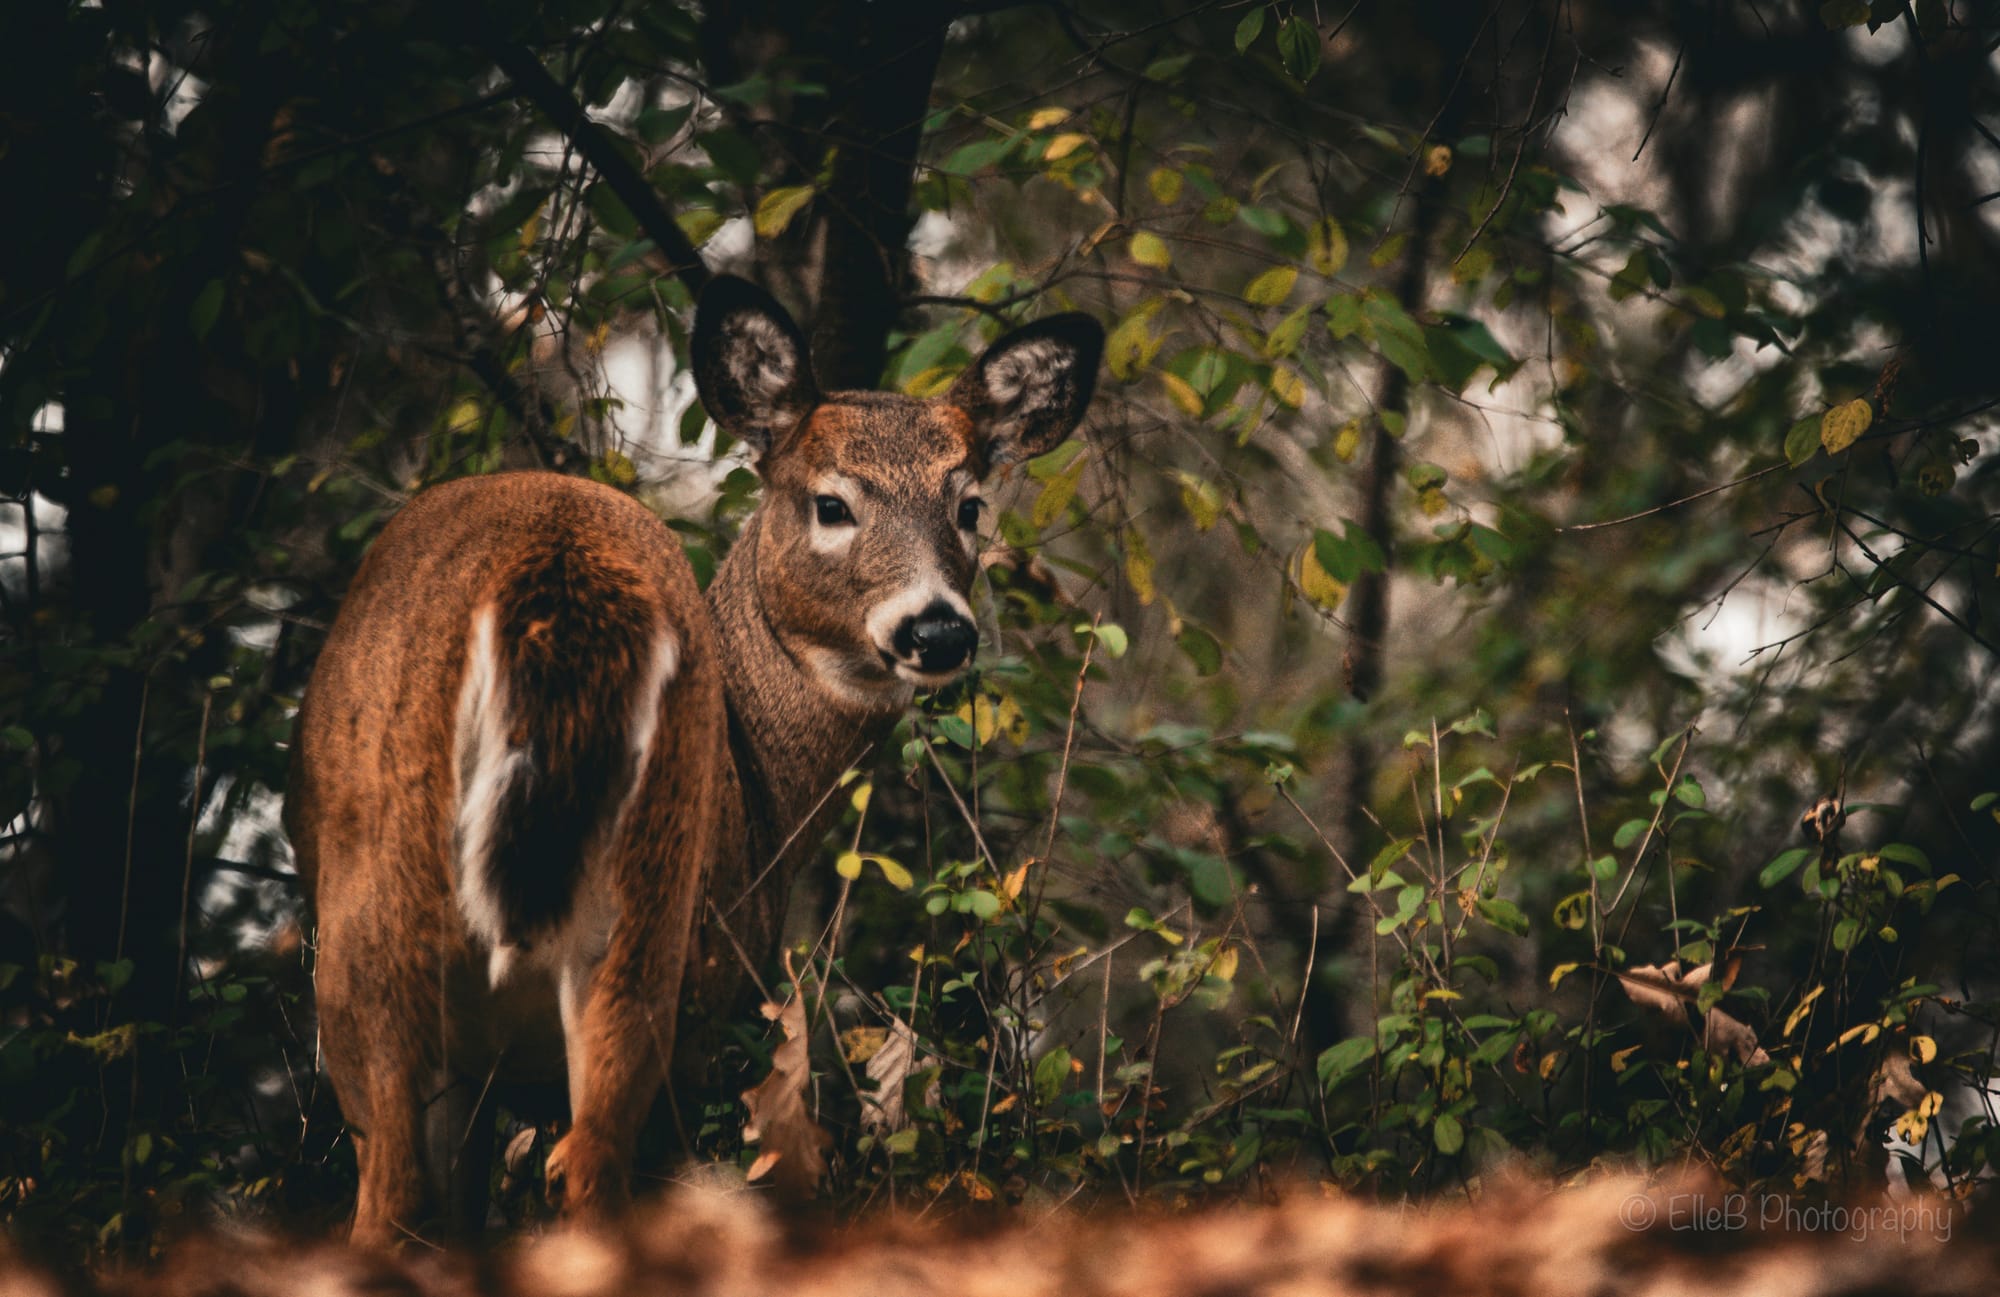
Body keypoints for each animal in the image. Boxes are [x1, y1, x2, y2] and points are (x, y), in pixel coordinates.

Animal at [288, 278, 1104, 1240]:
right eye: (832, 503)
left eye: (970, 506)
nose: (937, 628)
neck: (763, 788)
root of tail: (553, 579)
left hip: (486, 922)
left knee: (438, 1185)